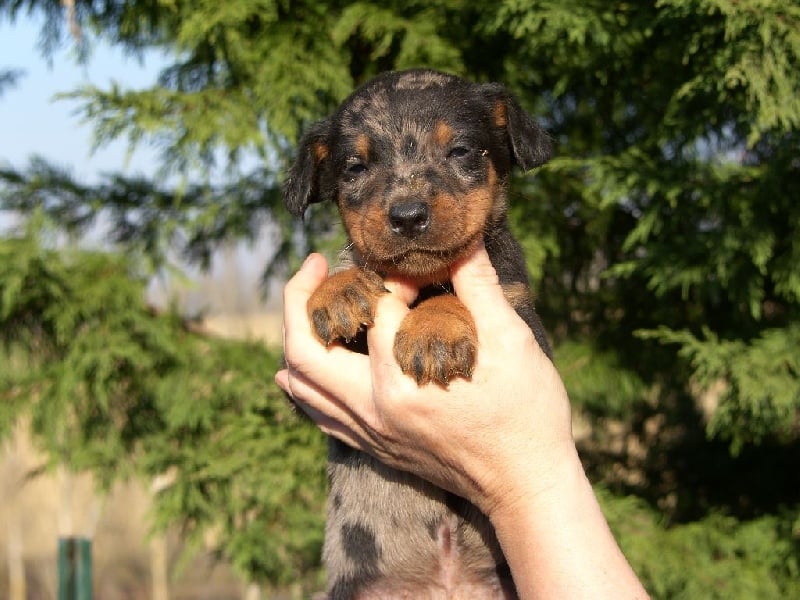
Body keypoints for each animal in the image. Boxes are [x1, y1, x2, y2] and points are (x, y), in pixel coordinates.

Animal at [284, 69, 552, 600]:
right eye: (355, 167)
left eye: (461, 151)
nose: (407, 216)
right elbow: (354, 264)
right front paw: (340, 290)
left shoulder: (526, 321)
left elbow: (451, 295)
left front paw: (434, 333)